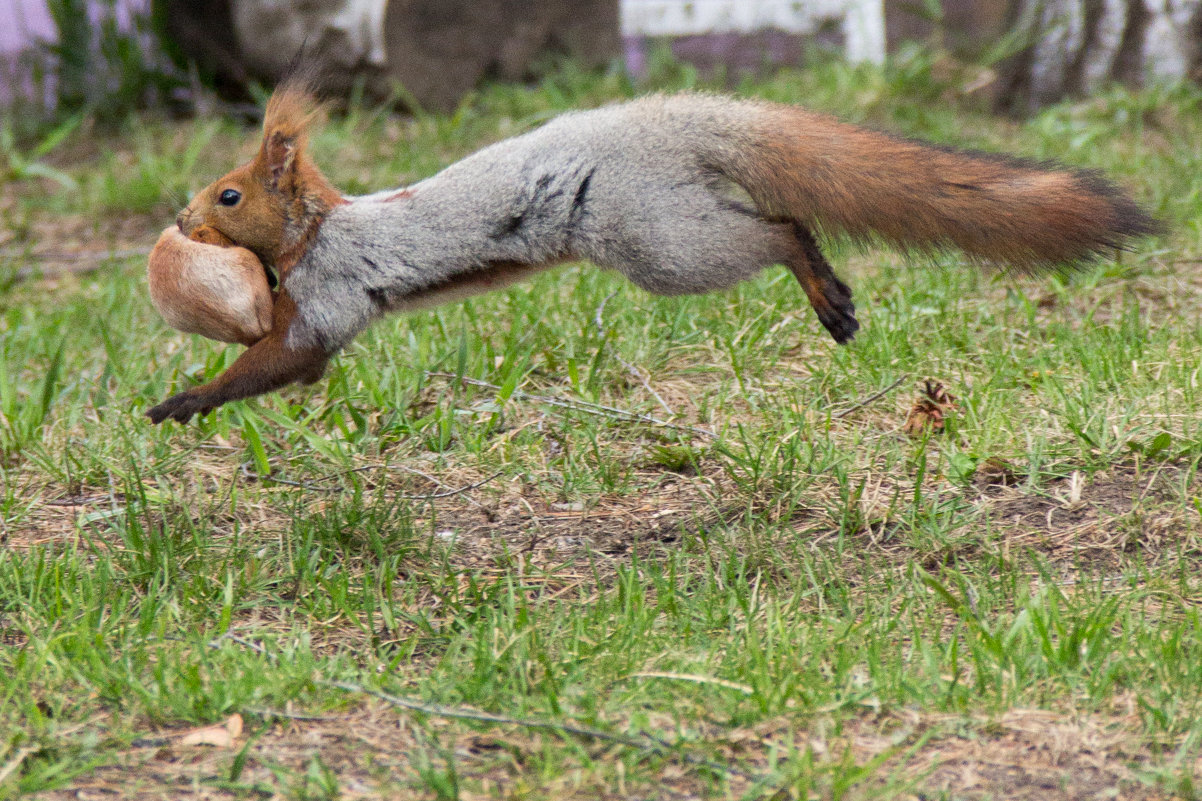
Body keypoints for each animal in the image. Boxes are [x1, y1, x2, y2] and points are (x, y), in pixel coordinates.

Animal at [145, 79, 1158, 423]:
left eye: (231, 195)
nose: (183, 220)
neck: (318, 228)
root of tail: (670, 125)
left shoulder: (332, 291)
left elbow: (291, 358)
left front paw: (183, 401)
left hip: (661, 240)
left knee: (780, 230)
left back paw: (826, 292)